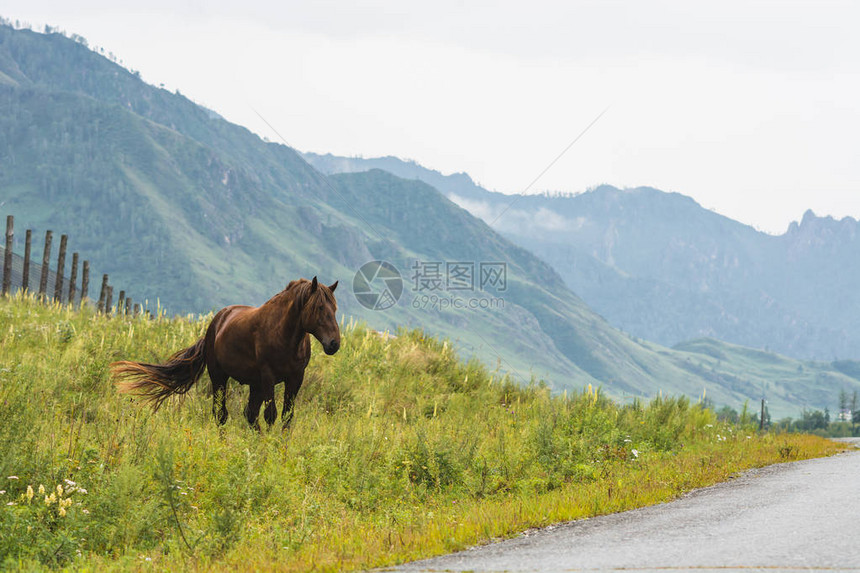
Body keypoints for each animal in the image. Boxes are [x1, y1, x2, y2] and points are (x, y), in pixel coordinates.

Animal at [112, 274, 340, 426]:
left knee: (250, 415)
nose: (334, 343)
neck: (284, 336)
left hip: (254, 384)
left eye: (335, 309)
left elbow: (287, 417)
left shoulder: (295, 378)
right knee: (221, 414)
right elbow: (271, 415)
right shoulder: (268, 377)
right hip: (219, 376)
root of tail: (216, 323)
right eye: (319, 307)